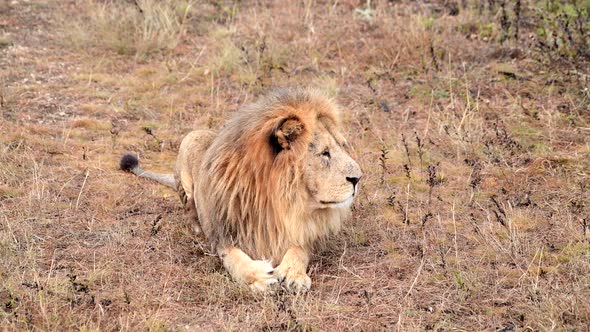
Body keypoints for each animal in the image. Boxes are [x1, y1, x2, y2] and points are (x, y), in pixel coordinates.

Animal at [119, 88, 360, 294]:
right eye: (325, 153)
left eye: (341, 146)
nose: (358, 178)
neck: (282, 201)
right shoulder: (223, 235)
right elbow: (234, 259)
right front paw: (260, 277)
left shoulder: (301, 232)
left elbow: (299, 251)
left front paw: (294, 275)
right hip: (190, 141)